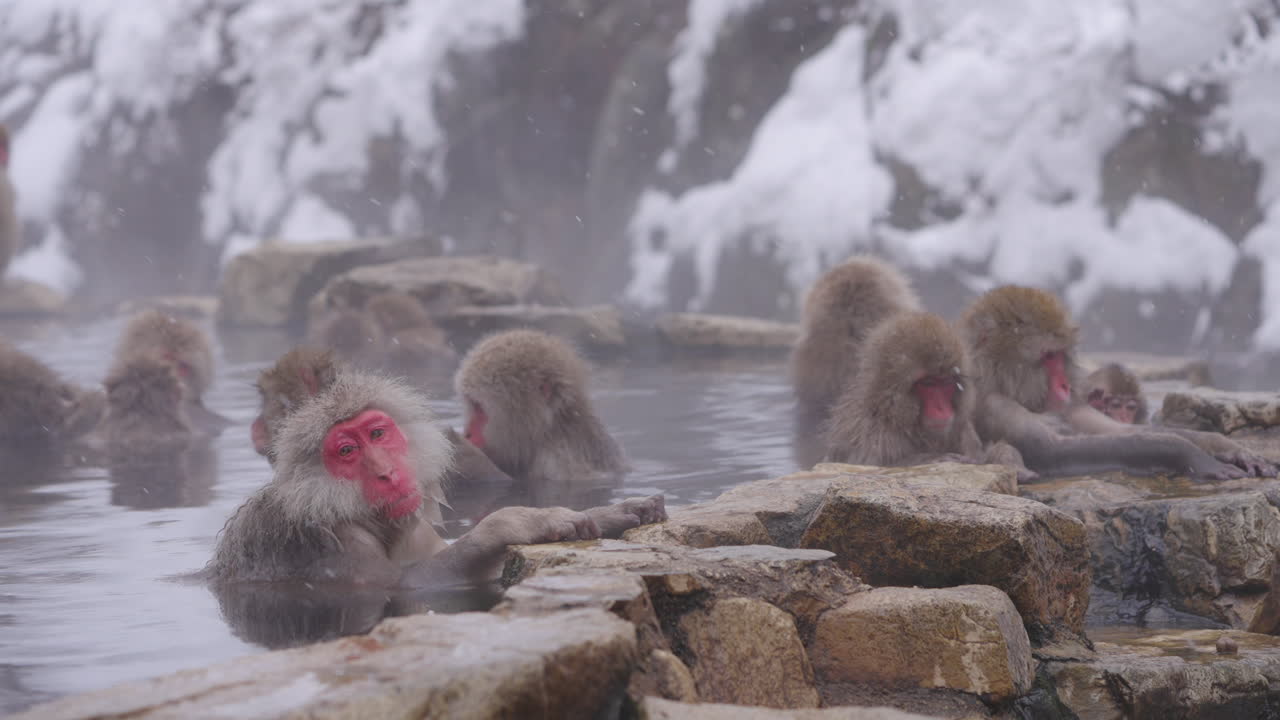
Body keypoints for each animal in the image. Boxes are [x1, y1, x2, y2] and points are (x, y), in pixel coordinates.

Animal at [206, 368, 664, 587]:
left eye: (377, 433)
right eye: (347, 451)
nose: (387, 473)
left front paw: (609, 512)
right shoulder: (330, 545)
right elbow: (408, 587)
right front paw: (513, 522)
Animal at [455, 329, 627, 506]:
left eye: (479, 408)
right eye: (473, 405)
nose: (467, 434)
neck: (551, 433)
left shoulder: (557, 463)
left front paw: (466, 459)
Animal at [961, 286, 1265, 481]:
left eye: (1059, 355)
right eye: (1047, 356)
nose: (1064, 386)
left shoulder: (1070, 405)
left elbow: (1123, 431)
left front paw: (1225, 446)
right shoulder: (992, 404)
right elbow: (1051, 451)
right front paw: (1187, 453)